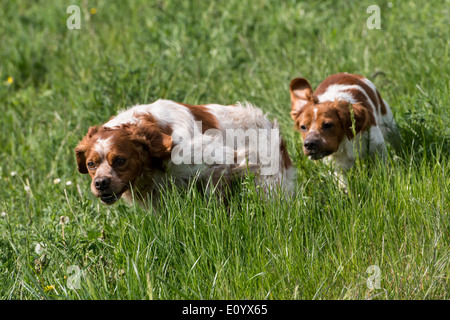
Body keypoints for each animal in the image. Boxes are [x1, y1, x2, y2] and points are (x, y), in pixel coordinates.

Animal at [74, 99, 296, 208]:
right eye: (91, 165)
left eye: (120, 160)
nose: (100, 183)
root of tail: (267, 122)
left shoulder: (218, 162)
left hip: (268, 182)